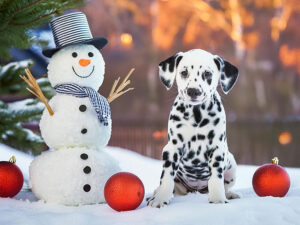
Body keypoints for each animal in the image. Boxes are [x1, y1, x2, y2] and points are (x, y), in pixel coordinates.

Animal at [148, 49, 241, 207]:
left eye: (207, 73)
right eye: (184, 72)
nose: (193, 91)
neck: (197, 116)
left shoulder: (217, 149)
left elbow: (216, 178)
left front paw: (218, 199)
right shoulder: (171, 149)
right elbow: (166, 178)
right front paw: (160, 199)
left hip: (232, 166)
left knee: (225, 185)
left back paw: (229, 194)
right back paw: (155, 194)